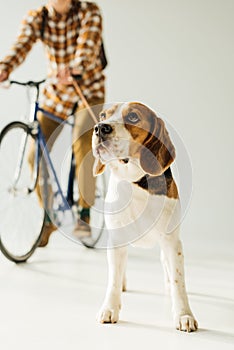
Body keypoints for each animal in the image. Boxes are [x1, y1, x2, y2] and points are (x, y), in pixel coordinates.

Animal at [91, 102, 197, 332]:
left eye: (133, 117)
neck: (137, 183)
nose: (100, 128)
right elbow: (113, 279)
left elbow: (179, 282)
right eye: (103, 115)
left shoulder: (172, 242)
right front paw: (109, 308)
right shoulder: (117, 240)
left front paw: (184, 315)